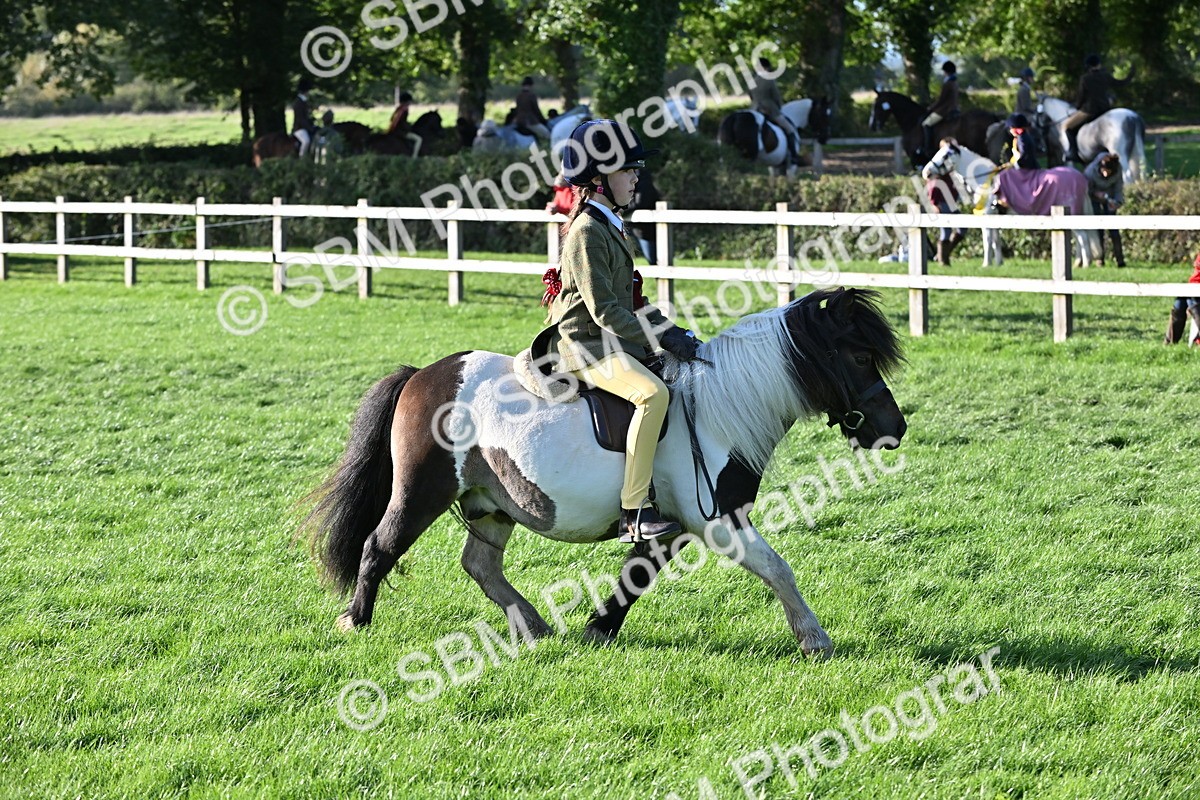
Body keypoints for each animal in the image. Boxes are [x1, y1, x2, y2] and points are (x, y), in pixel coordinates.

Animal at [300, 287, 907, 659]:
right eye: (858, 358)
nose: (893, 428)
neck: (716, 410)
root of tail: (422, 374)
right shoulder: (717, 521)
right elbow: (779, 570)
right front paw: (814, 638)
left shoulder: (674, 525)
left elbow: (637, 574)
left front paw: (598, 628)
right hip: (422, 491)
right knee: (380, 545)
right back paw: (355, 620)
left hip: (493, 502)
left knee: (480, 564)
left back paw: (533, 625)